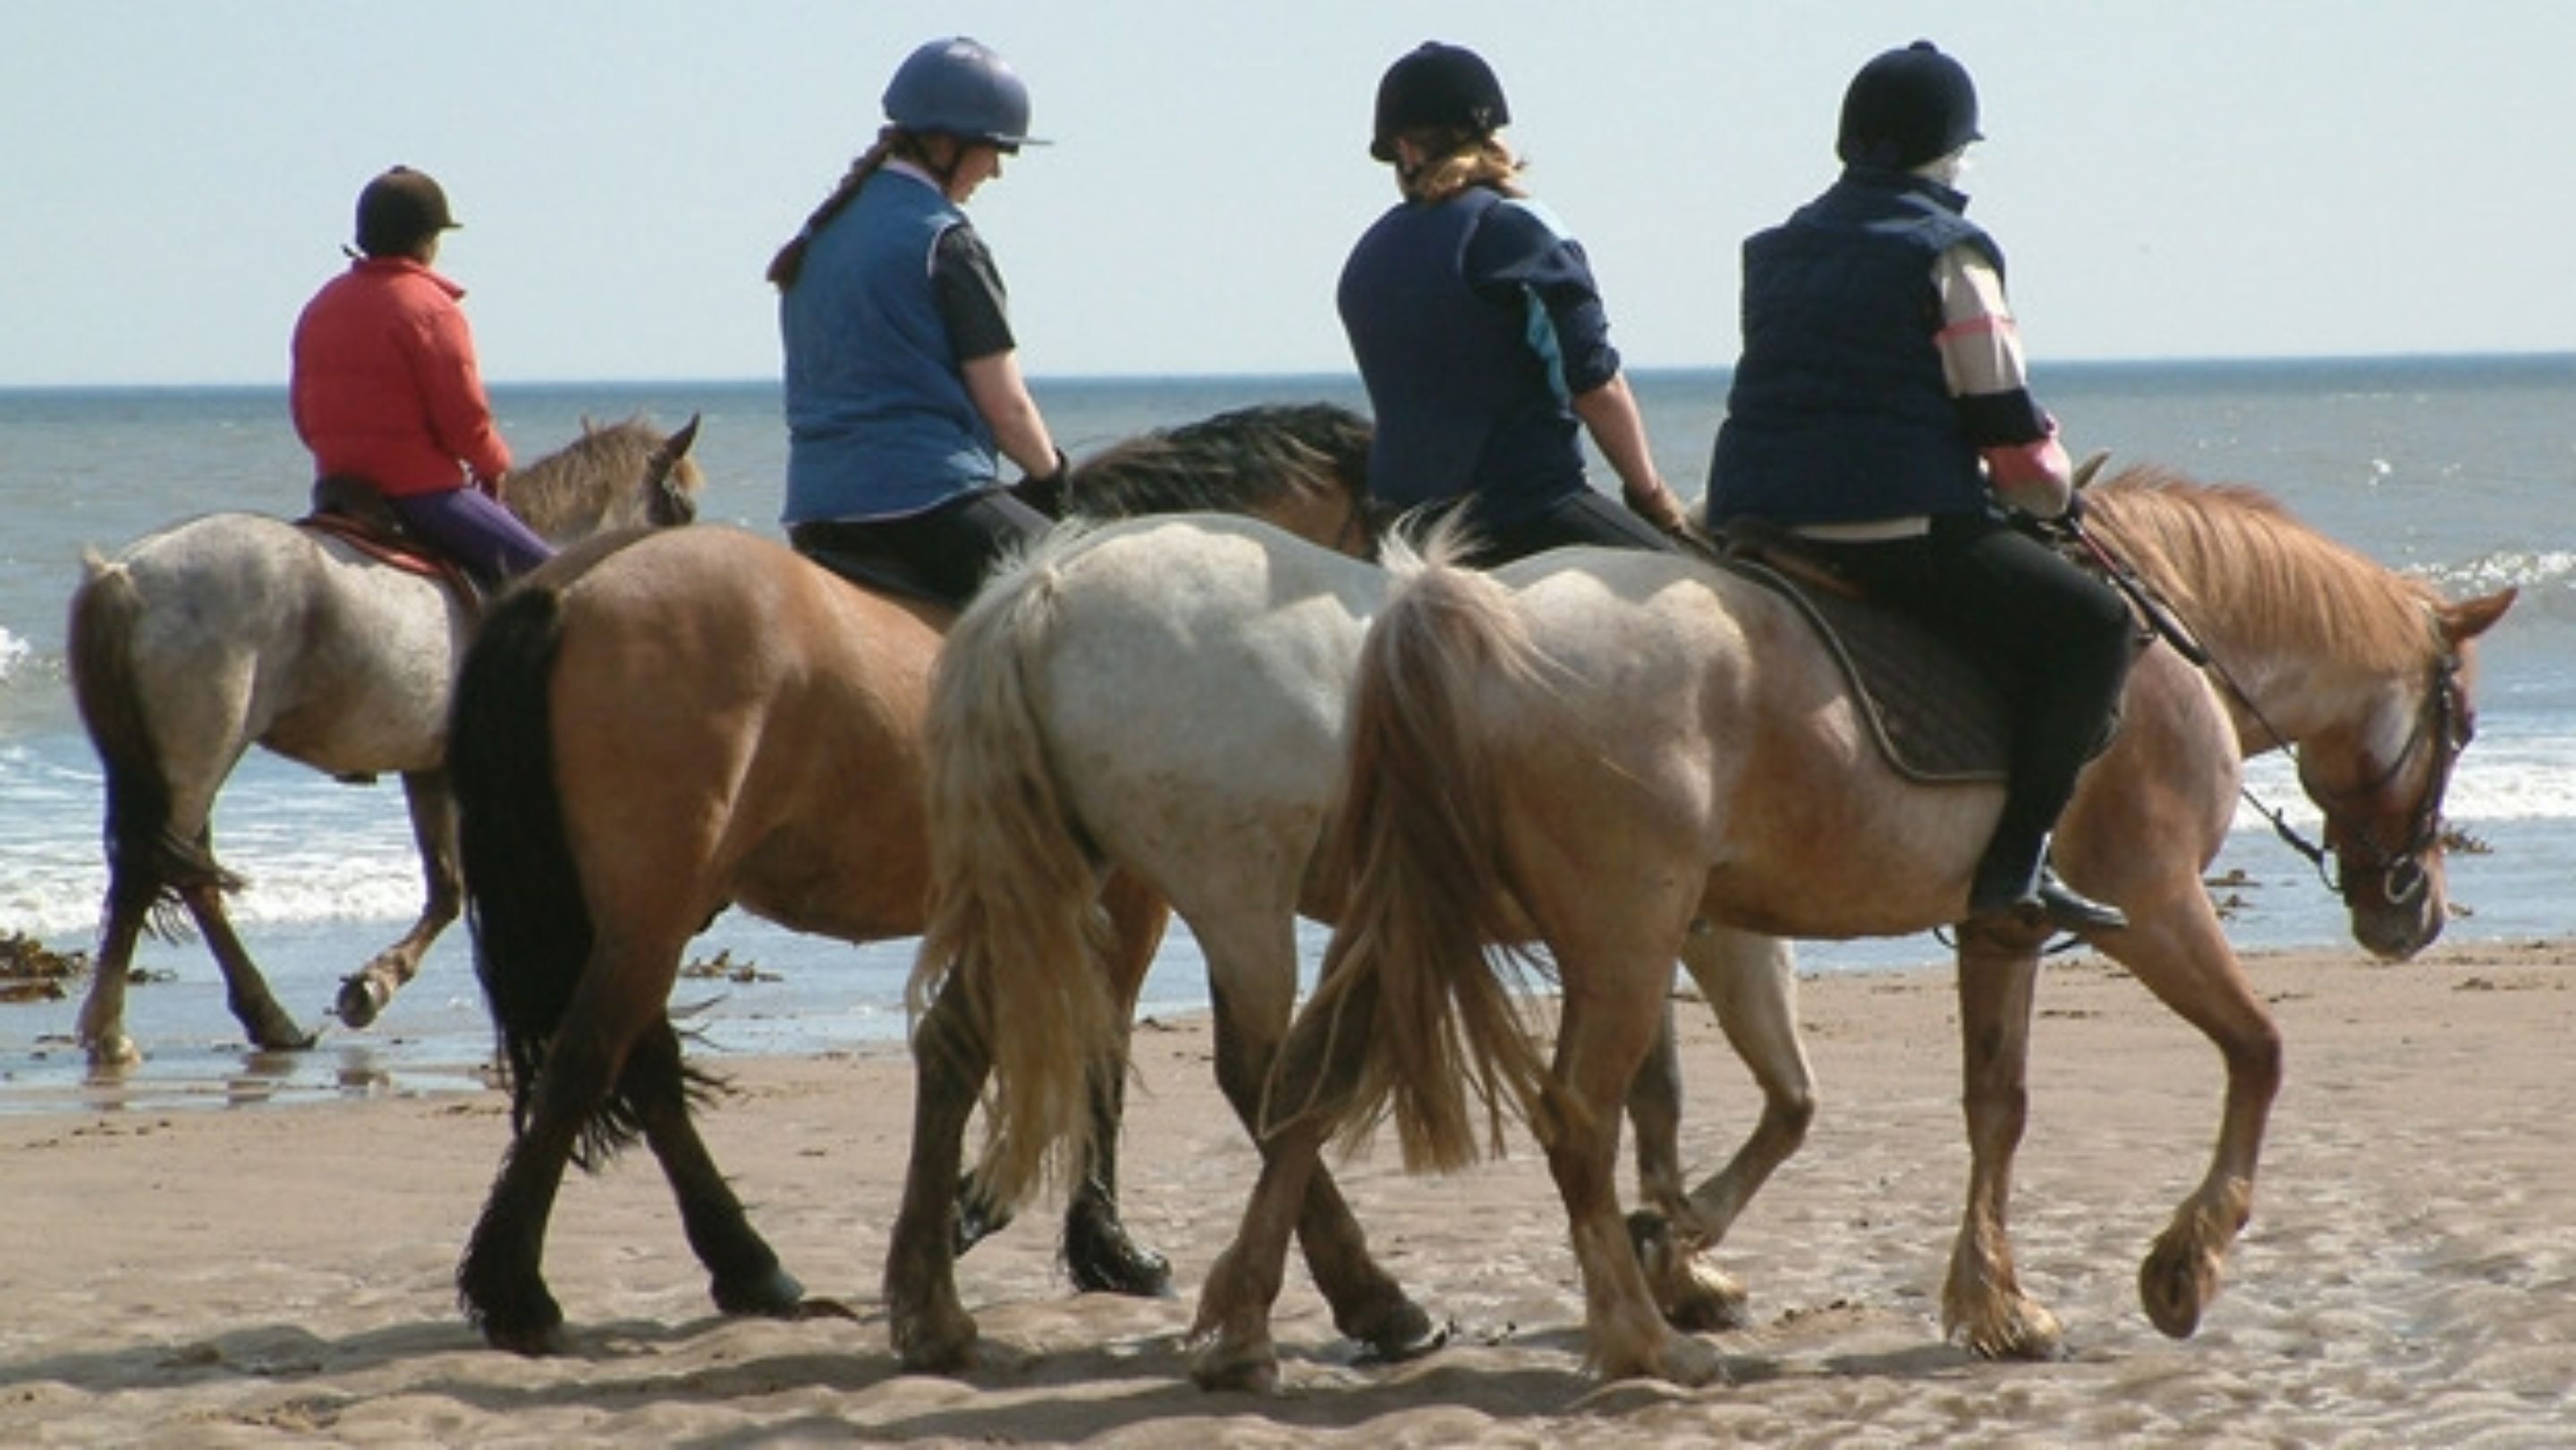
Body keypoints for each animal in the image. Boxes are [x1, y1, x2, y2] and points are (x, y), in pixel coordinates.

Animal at [66, 416, 703, 1067]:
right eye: (681, 509)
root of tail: (127, 576)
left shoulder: (429, 769)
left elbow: (447, 888)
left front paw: (370, 986)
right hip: (196, 760)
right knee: (152, 873)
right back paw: (113, 1029)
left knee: (183, 876)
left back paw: (267, 1019)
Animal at [444, 403, 1380, 1356]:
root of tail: (572, 588)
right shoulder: (1126, 901)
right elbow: (1103, 1056)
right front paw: (1092, 1243)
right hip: (652, 905)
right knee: (590, 1057)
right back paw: (520, 1287)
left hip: (639, 908)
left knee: (643, 1065)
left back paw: (743, 1262)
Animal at [907, 468, 2514, 1382]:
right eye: (2458, 717)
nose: (2411, 913)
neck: (2154, 632)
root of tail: (1046, 585)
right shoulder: (2149, 903)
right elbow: (2255, 1055)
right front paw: (2181, 1269)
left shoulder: (1950, 927)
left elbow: (1954, 1104)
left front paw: (1972, 1301)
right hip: (1251, 892)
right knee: (1337, 1083)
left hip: (1166, 890)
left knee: (1149, 1068)